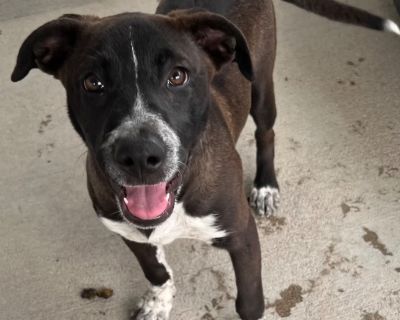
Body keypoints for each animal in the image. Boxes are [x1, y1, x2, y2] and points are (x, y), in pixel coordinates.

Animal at [10, 1, 398, 318]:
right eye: (93, 83)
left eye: (177, 76)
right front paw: (159, 302)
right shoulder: (130, 233)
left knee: (266, 133)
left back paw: (266, 187)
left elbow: (250, 302)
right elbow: (157, 271)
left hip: (261, 86)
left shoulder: (242, 235)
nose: (140, 155)